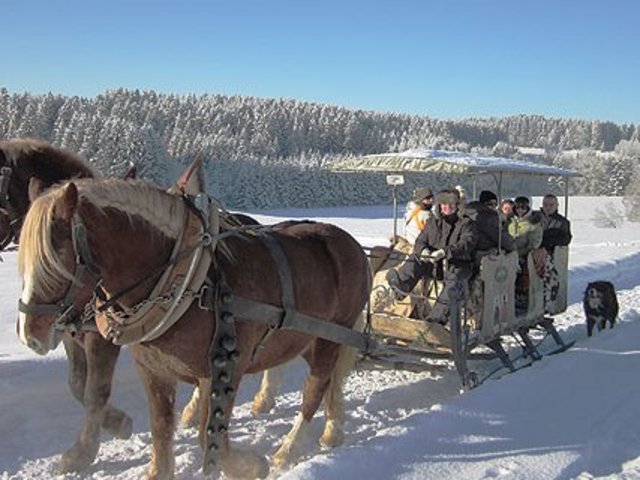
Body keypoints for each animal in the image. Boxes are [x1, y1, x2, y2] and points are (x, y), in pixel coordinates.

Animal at [0, 137, 134, 470]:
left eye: (54, 258)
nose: (28, 335)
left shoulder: (101, 338)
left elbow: (95, 391)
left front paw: (83, 451)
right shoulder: (71, 334)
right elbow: (77, 385)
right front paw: (117, 421)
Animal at [16, 178, 370, 478]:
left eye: (57, 257)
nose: (29, 335)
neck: (187, 282)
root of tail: (350, 243)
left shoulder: (225, 367)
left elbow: (207, 436)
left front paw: (250, 465)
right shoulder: (153, 370)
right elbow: (160, 430)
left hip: (331, 335)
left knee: (316, 388)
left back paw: (289, 449)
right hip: (306, 338)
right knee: (332, 381)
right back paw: (332, 429)